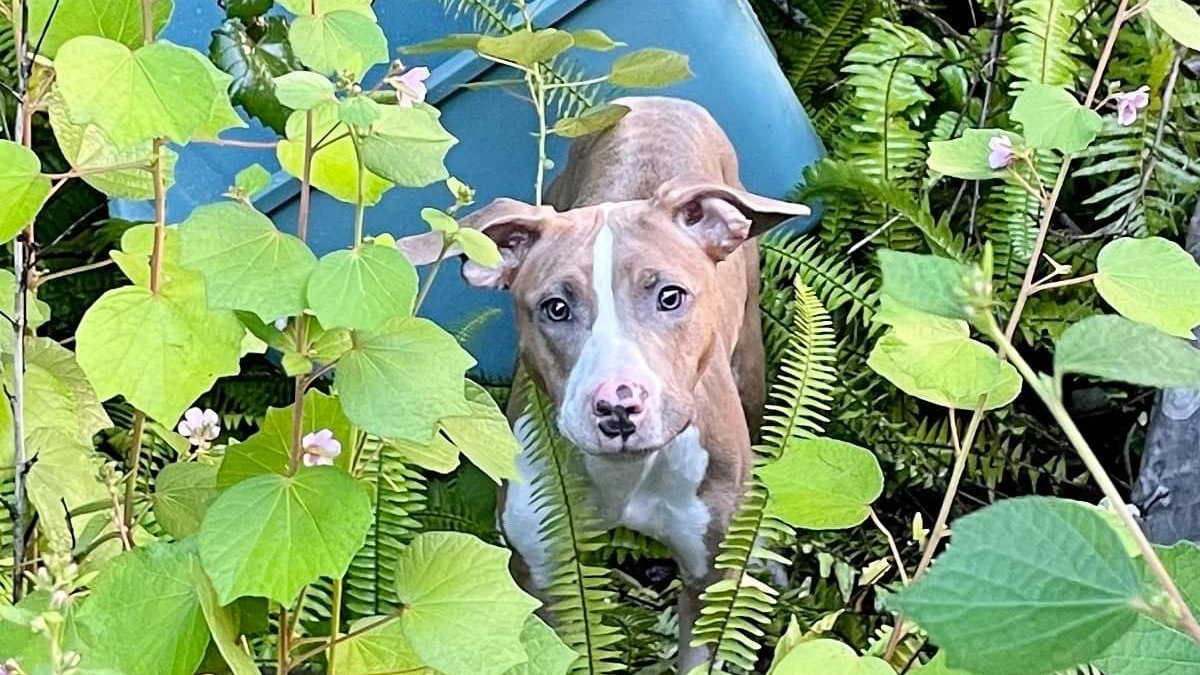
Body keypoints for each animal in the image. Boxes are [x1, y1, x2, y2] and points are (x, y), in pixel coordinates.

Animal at [400, 96, 806, 667]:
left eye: (670, 296)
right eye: (556, 307)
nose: (617, 406)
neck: (626, 476)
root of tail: (658, 100)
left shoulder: (706, 577)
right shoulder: (545, 574)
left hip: (749, 361)